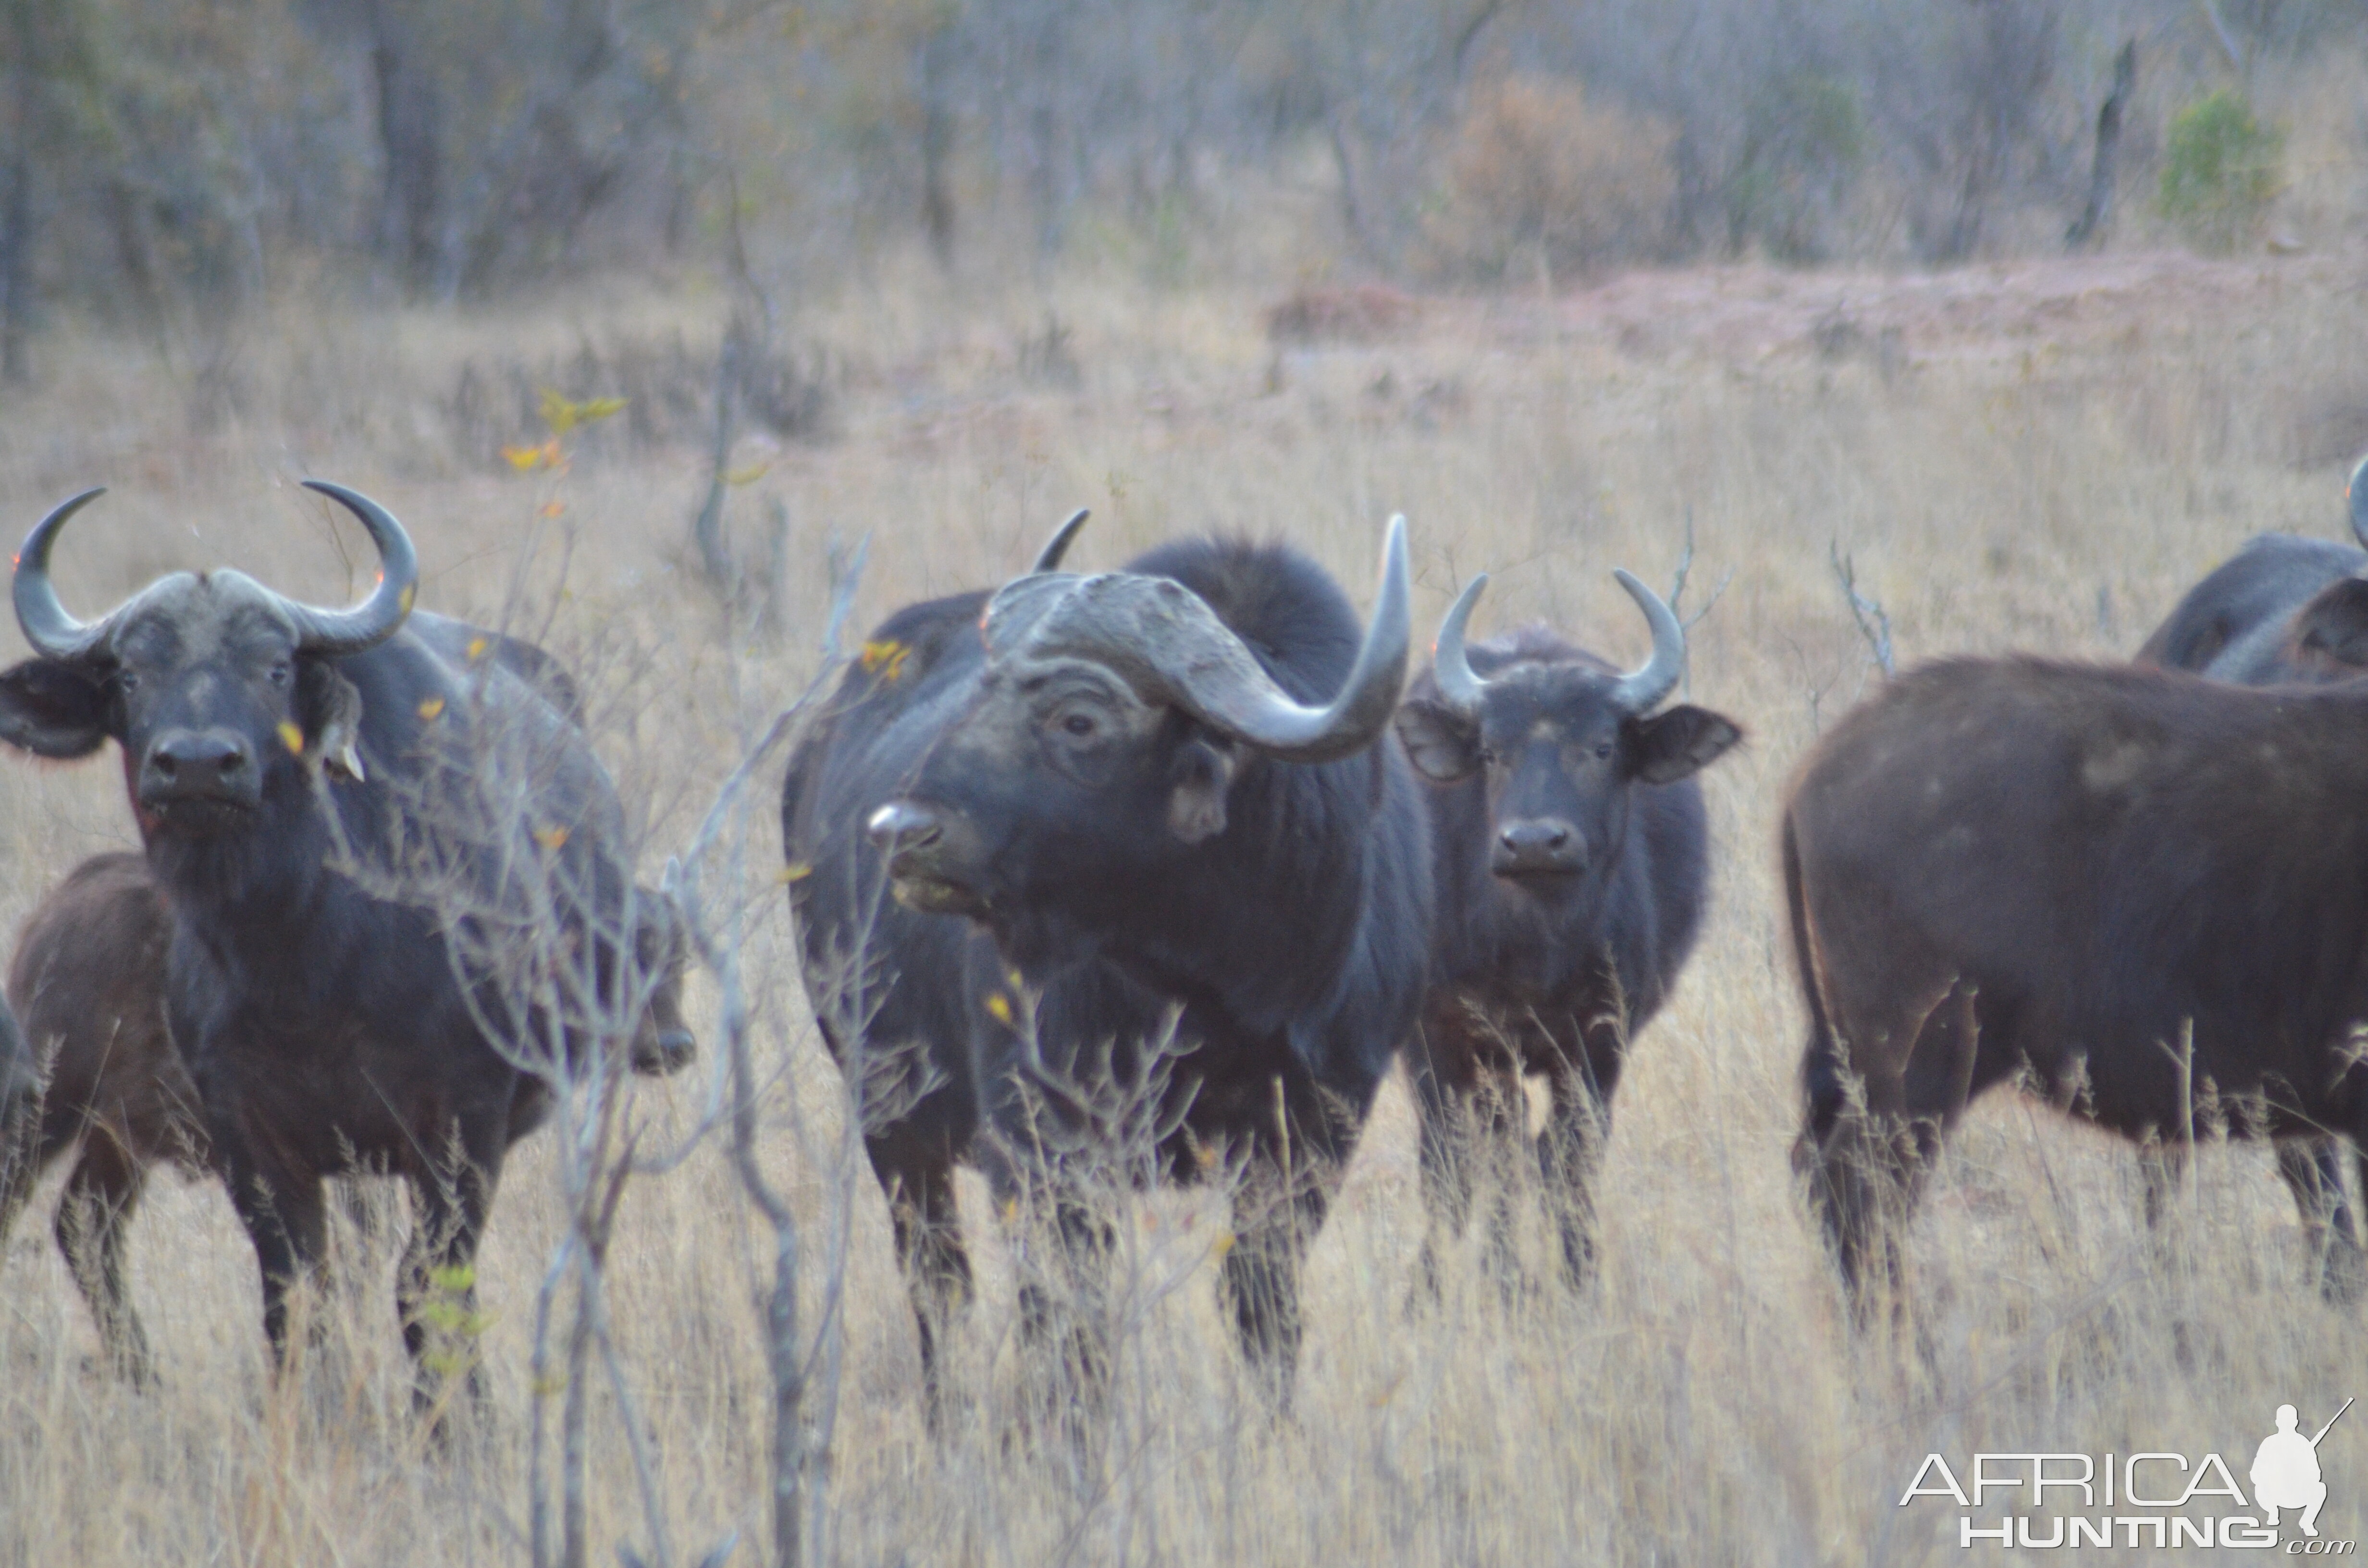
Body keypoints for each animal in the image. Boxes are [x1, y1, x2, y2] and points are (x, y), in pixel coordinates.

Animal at [0, 485, 687, 1393]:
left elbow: (429, 1290)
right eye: (131, 673)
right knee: (78, 1221)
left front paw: (459, 1417)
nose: (197, 764)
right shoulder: (251, 1139)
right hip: (47, 1101)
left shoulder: (461, 1127)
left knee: (87, 1222)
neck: (307, 954)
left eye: (274, 668)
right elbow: (297, 1297)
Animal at [786, 514, 1430, 1411]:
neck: (1212, 988)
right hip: (888, 1112)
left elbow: (1262, 1308)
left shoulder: (1311, 1135)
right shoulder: (1045, 1147)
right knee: (938, 1283)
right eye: (983, 692)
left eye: (1079, 720)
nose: (899, 830)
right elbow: (1066, 1325)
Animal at [1382, 571, 1743, 1298]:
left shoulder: (1600, 1043)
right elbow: (1468, 1168)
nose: (1532, 842)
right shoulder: (1444, 1039)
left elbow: (1569, 1165)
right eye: (1492, 752)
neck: (1534, 948)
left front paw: (1574, 1284)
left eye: (1602, 749)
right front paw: (1455, 1289)